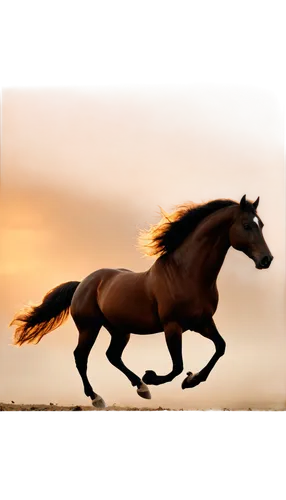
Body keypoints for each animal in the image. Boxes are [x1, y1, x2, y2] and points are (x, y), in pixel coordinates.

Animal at [9, 193, 272, 408]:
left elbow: (220, 347)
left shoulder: (203, 323)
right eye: (247, 225)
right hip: (89, 327)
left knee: (112, 355)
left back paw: (141, 388)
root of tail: (83, 283)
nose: (266, 259)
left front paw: (191, 380)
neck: (186, 274)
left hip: (119, 330)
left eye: (261, 224)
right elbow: (177, 366)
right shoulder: (173, 326)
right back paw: (98, 397)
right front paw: (154, 376)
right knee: (80, 357)